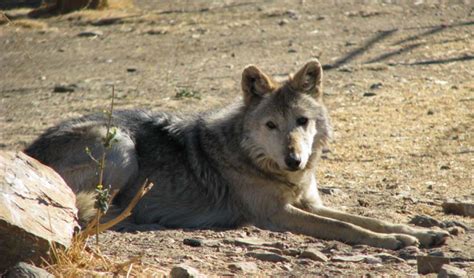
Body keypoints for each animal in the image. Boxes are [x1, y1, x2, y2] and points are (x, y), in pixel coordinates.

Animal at [25, 59, 448, 250]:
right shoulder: (275, 214)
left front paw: (420, 233)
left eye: (302, 121)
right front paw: (397, 242)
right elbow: (347, 228)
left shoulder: (310, 204)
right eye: (271, 125)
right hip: (120, 143)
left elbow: (367, 218)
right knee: (90, 215)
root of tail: (27, 150)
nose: (294, 160)